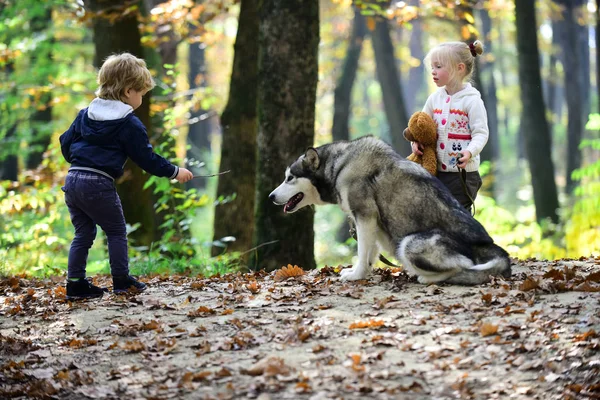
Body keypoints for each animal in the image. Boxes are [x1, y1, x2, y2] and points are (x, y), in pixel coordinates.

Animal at [270, 137, 508, 284]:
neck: (338, 166)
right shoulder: (371, 222)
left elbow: (361, 251)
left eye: (290, 178)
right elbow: (368, 253)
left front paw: (356, 275)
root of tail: (488, 244)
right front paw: (362, 273)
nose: (271, 197)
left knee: (463, 267)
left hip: (408, 244)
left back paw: (427, 278)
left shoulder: (364, 215)